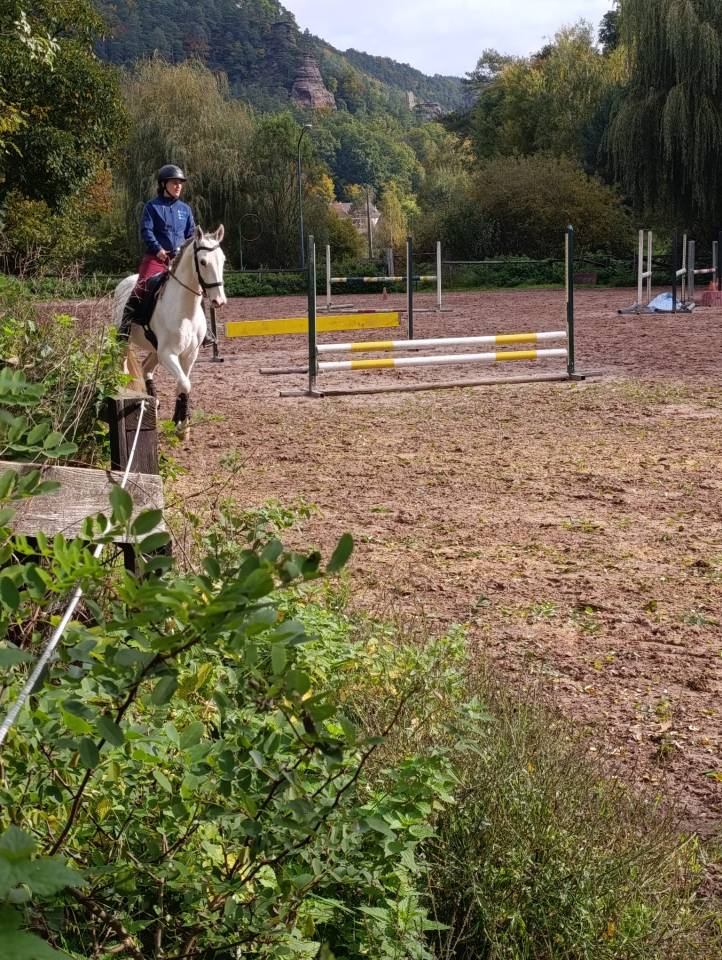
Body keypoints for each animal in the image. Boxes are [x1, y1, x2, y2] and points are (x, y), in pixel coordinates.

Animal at [112, 225, 227, 438]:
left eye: (222, 260)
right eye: (203, 262)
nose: (219, 301)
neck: (185, 310)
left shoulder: (189, 354)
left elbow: (183, 384)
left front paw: (181, 422)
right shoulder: (168, 354)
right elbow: (184, 383)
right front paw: (182, 425)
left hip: (155, 350)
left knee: (146, 368)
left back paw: (154, 403)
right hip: (126, 340)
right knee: (124, 365)